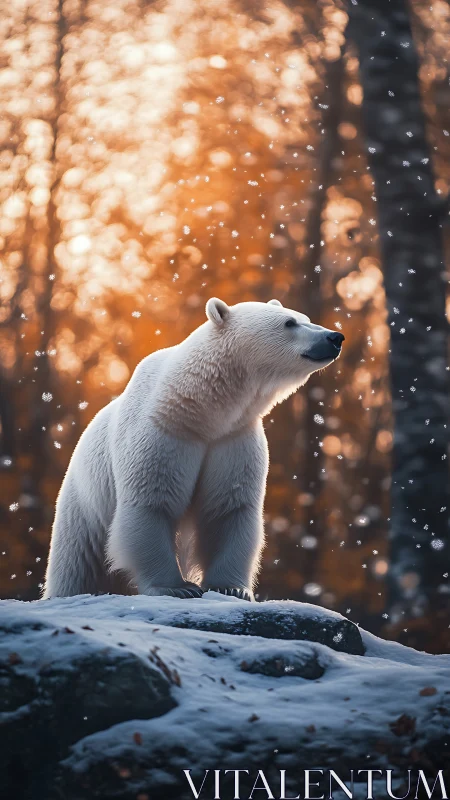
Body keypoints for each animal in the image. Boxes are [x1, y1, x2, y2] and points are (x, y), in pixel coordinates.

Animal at [43, 298, 344, 601]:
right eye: (289, 323)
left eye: (305, 318)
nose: (335, 337)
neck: (200, 410)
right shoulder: (163, 433)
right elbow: (153, 502)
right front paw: (177, 588)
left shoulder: (232, 439)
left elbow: (227, 508)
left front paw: (232, 587)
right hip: (84, 501)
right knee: (77, 559)